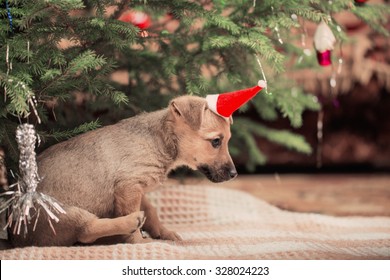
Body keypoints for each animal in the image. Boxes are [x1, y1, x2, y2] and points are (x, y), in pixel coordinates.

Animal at [10, 95, 236, 246]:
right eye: (216, 141)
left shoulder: (135, 188)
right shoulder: (129, 186)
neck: (161, 140)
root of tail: (16, 233)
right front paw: (139, 241)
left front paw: (163, 232)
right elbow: (135, 214)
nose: (234, 174)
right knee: (86, 231)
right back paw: (127, 223)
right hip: (65, 212)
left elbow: (151, 212)